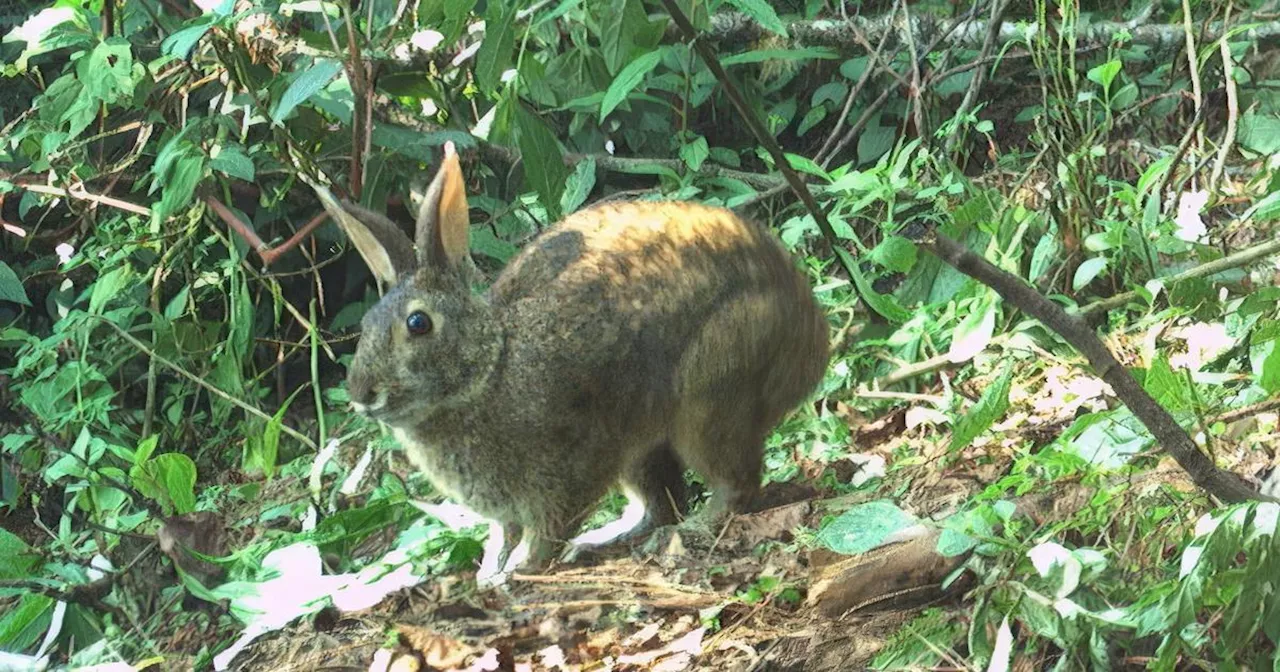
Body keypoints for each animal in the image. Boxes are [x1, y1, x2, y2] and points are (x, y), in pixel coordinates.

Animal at [317, 141, 829, 581]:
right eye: (366, 324)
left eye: (418, 323)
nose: (362, 395)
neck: (491, 369)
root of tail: (811, 336)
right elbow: (503, 534)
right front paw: (490, 572)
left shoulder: (565, 471)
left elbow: (546, 529)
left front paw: (519, 570)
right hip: (641, 446)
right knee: (660, 501)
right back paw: (605, 540)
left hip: (712, 391)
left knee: (733, 484)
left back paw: (685, 532)